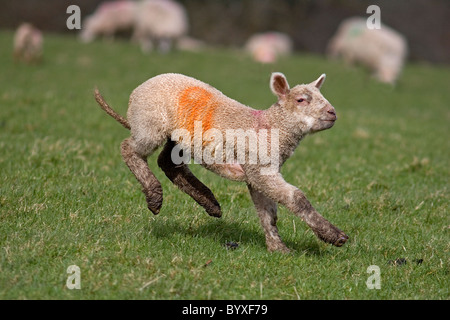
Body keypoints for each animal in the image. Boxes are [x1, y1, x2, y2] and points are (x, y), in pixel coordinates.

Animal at [94, 72, 348, 252]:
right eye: (301, 100)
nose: (332, 112)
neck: (269, 126)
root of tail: (138, 90)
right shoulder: (259, 169)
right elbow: (297, 199)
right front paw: (334, 236)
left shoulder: (257, 173)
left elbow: (268, 213)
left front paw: (278, 248)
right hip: (150, 122)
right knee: (129, 149)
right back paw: (154, 195)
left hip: (178, 136)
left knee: (168, 163)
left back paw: (209, 203)